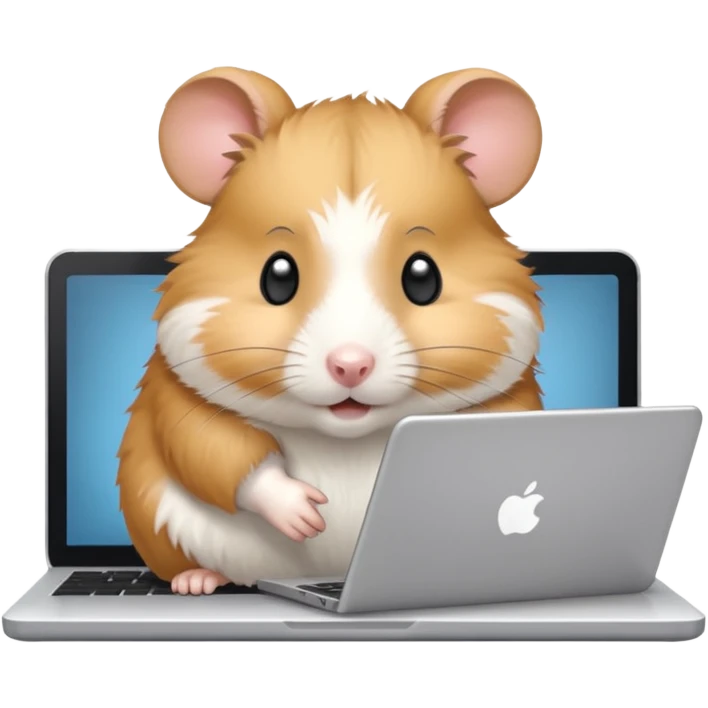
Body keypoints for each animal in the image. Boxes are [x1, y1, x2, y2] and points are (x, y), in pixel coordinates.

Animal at [118, 65, 545, 595]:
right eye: (277, 276)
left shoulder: (512, 399)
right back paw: (197, 581)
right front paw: (306, 514)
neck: (344, 438)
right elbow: (214, 447)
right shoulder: (174, 392)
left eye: (423, 277)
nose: (350, 365)